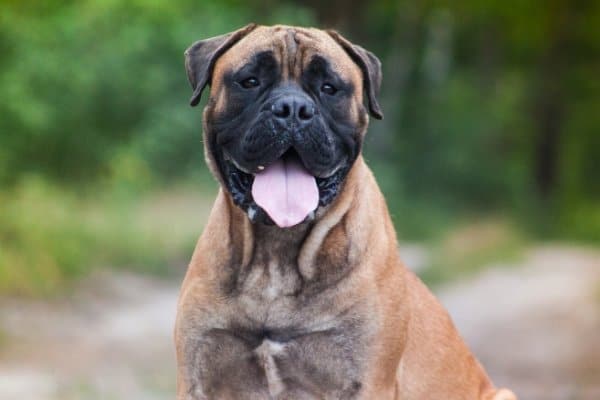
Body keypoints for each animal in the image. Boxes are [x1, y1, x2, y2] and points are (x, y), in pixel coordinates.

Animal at [173, 23, 516, 398]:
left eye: (329, 88)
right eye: (250, 81)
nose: (292, 108)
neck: (275, 259)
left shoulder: (368, 381)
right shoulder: (196, 378)